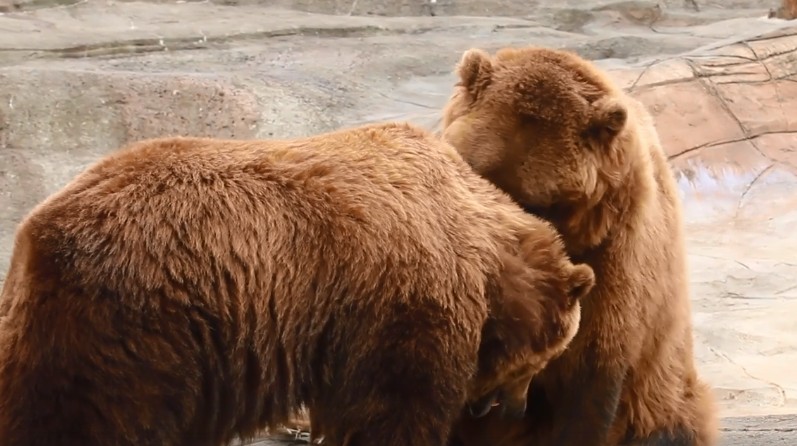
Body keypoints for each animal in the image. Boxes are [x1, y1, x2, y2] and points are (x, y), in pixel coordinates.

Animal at [0, 121, 592, 446]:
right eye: (541, 360)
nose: (513, 408)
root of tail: (32, 234)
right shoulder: (403, 302)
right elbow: (394, 409)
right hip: (134, 326)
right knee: (86, 417)